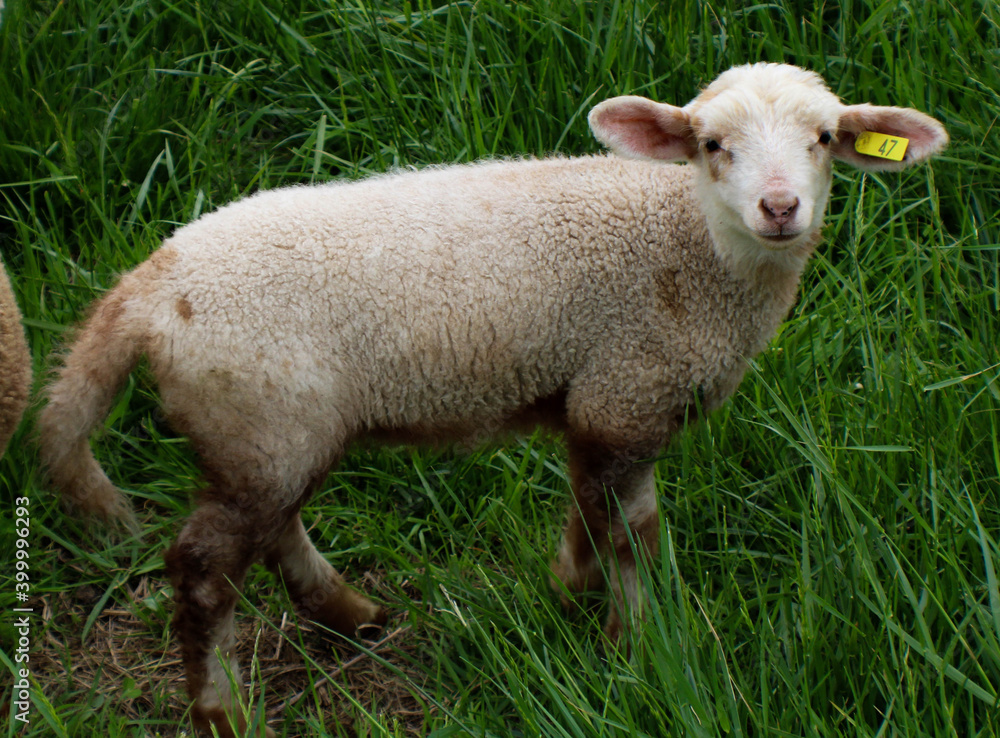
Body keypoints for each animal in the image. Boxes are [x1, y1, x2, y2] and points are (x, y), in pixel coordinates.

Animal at [38, 63, 948, 737]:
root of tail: (148, 289)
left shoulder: (595, 398)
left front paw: (569, 589)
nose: (780, 208)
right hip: (259, 415)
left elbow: (587, 507)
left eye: (824, 139)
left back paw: (348, 612)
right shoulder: (628, 387)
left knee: (273, 527)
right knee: (202, 573)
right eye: (712, 145)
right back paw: (223, 710)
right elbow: (633, 531)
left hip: (266, 426)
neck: (691, 248)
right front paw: (634, 645)